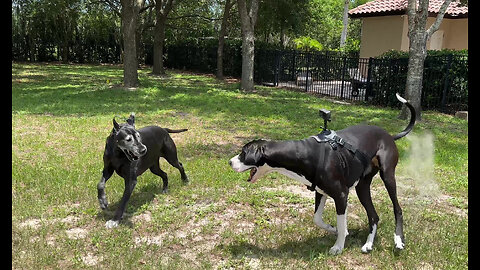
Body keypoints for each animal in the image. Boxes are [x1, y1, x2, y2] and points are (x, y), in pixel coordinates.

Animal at [230, 94, 416, 254]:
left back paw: (398, 240)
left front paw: (338, 246)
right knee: (374, 216)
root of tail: (389, 135)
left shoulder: (341, 195)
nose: (230, 162)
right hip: (362, 187)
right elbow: (317, 219)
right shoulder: (321, 192)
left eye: (243, 153)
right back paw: (368, 244)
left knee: (397, 209)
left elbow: (341, 223)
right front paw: (332, 229)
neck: (304, 153)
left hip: (388, 176)